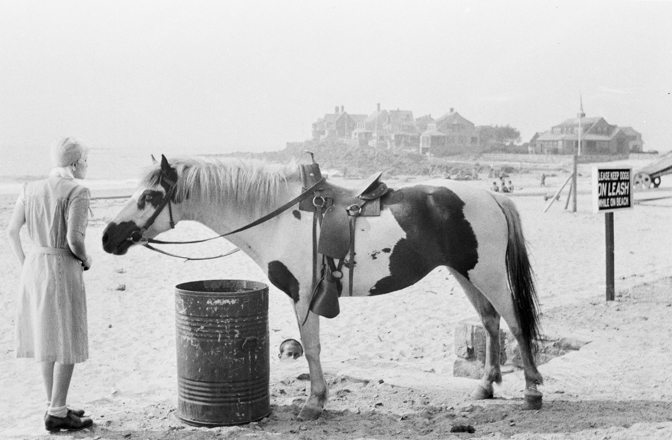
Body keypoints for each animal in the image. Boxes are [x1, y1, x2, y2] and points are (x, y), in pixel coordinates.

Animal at [102, 155, 544, 420]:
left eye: (149, 196)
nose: (108, 237)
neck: (276, 217)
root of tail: (491, 196)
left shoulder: (303, 296)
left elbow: (311, 348)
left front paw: (314, 402)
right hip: (464, 273)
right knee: (489, 323)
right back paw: (486, 386)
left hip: (487, 274)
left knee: (515, 323)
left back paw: (532, 391)